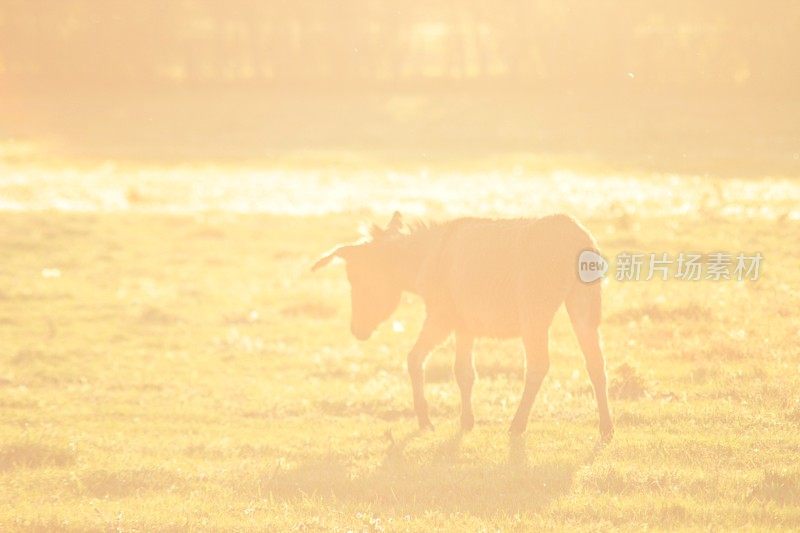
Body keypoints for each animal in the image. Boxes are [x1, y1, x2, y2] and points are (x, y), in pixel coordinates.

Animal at [312, 210, 612, 438]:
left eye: (356, 278)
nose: (357, 331)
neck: (423, 258)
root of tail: (575, 233)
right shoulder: (464, 326)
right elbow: (464, 373)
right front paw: (467, 422)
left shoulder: (441, 317)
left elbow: (414, 359)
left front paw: (426, 422)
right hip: (584, 305)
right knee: (596, 364)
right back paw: (606, 427)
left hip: (534, 312)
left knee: (538, 366)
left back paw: (517, 425)